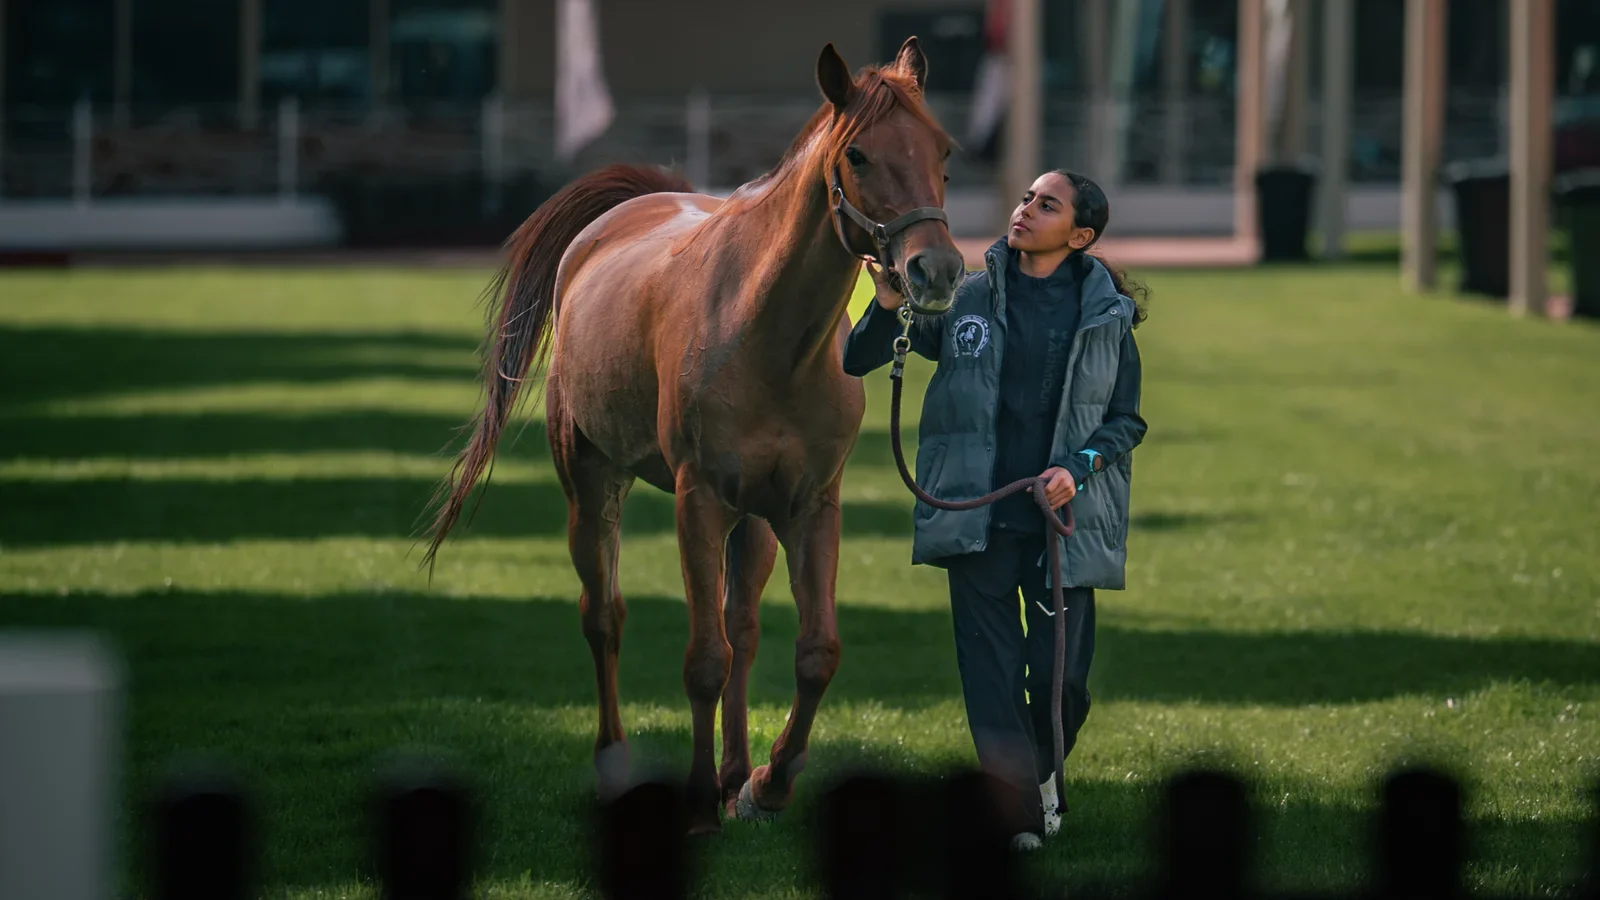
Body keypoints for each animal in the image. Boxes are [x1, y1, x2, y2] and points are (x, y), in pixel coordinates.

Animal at [423, 38, 964, 834]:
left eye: (943, 151)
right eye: (859, 155)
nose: (938, 270)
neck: (769, 337)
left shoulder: (810, 507)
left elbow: (814, 652)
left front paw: (767, 782)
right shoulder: (698, 501)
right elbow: (702, 657)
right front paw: (701, 799)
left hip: (755, 520)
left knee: (742, 628)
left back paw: (738, 772)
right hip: (592, 485)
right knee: (604, 616)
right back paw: (617, 761)